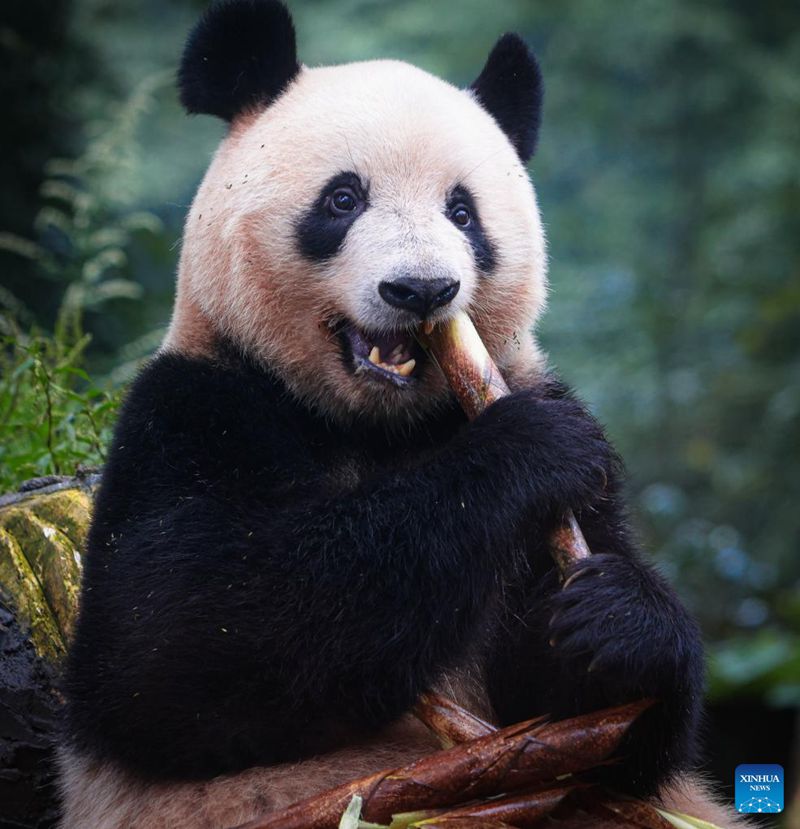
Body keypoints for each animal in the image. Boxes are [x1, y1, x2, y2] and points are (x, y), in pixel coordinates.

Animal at [58, 1, 744, 827]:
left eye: (463, 211)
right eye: (343, 199)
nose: (421, 289)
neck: (375, 425)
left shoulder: (553, 430)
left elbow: (598, 733)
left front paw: (619, 618)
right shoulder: (192, 412)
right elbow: (173, 644)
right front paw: (527, 447)